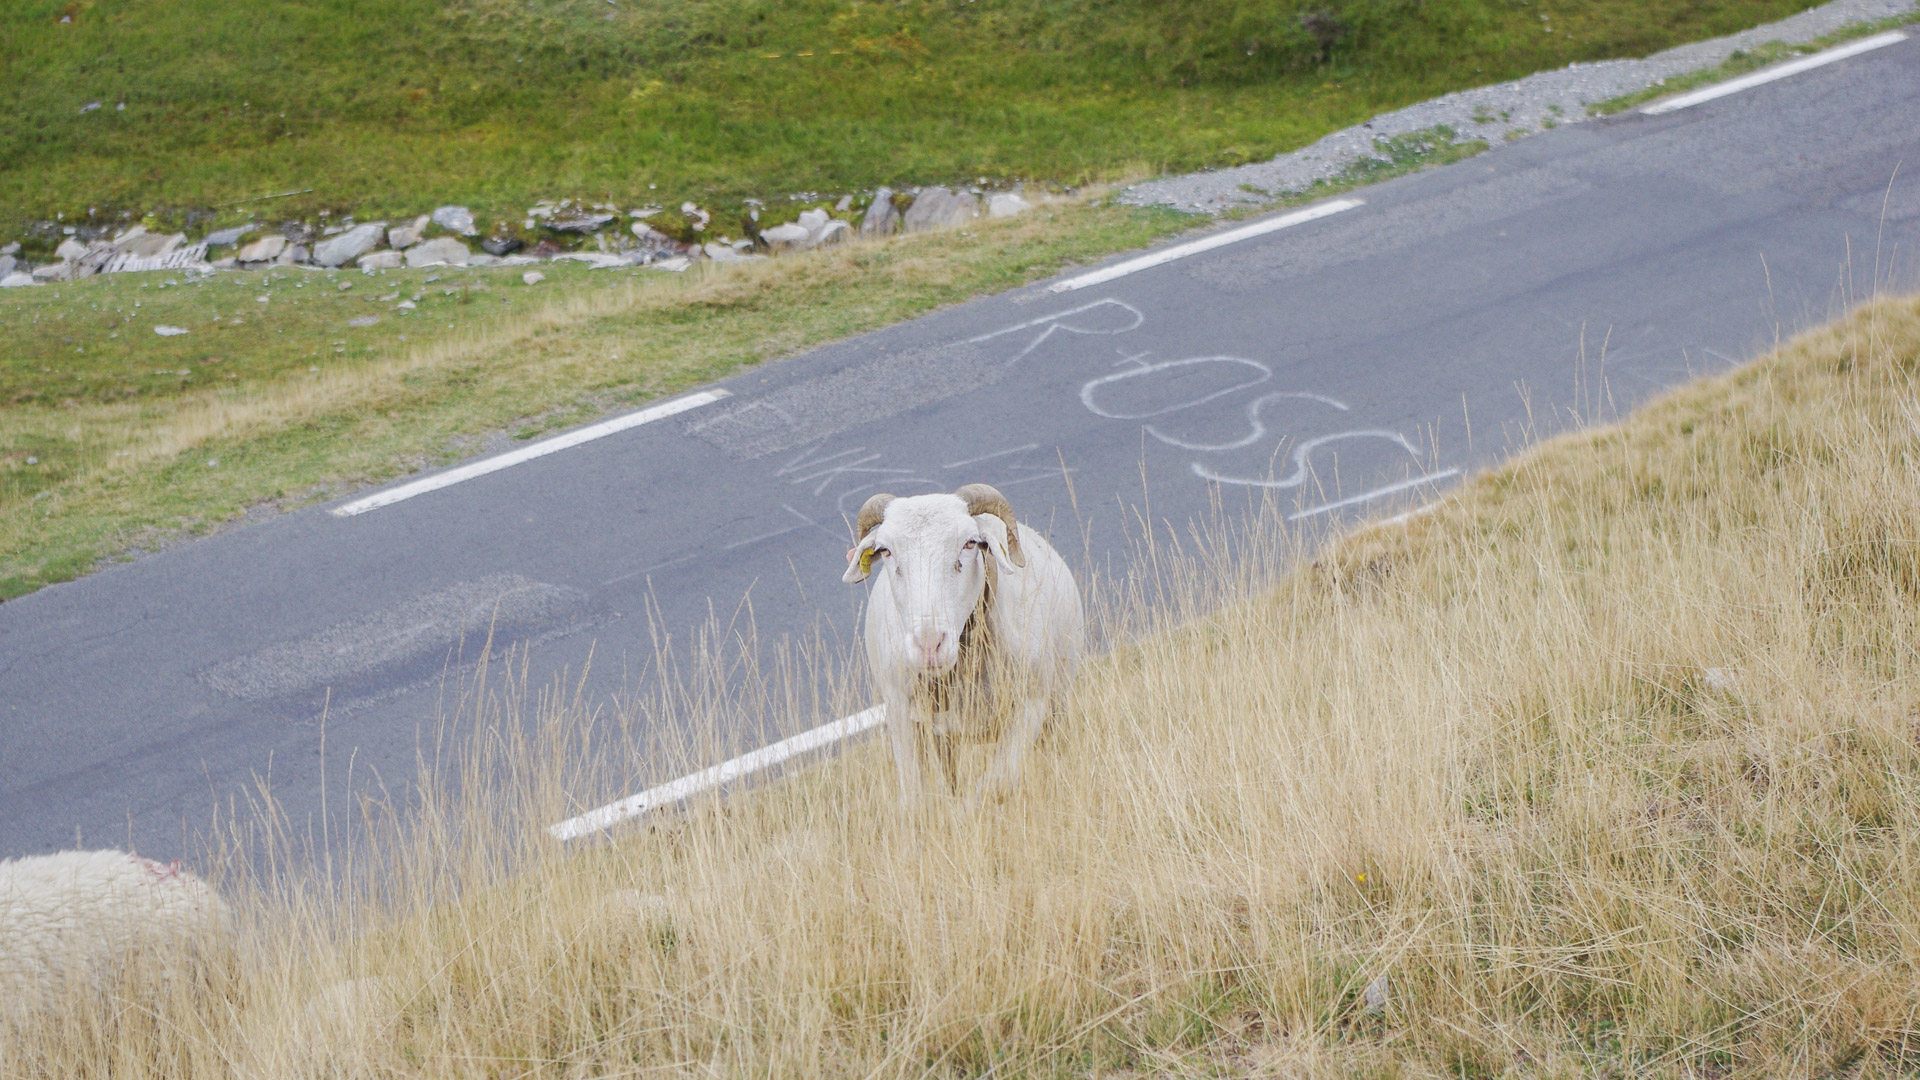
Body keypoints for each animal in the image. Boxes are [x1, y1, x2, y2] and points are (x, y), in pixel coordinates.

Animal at [848, 484, 1090, 803]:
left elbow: (994, 785)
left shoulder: (1032, 705)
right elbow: (916, 794)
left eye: (970, 543)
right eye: (885, 550)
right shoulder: (901, 712)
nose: (929, 645)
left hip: (1057, 703)